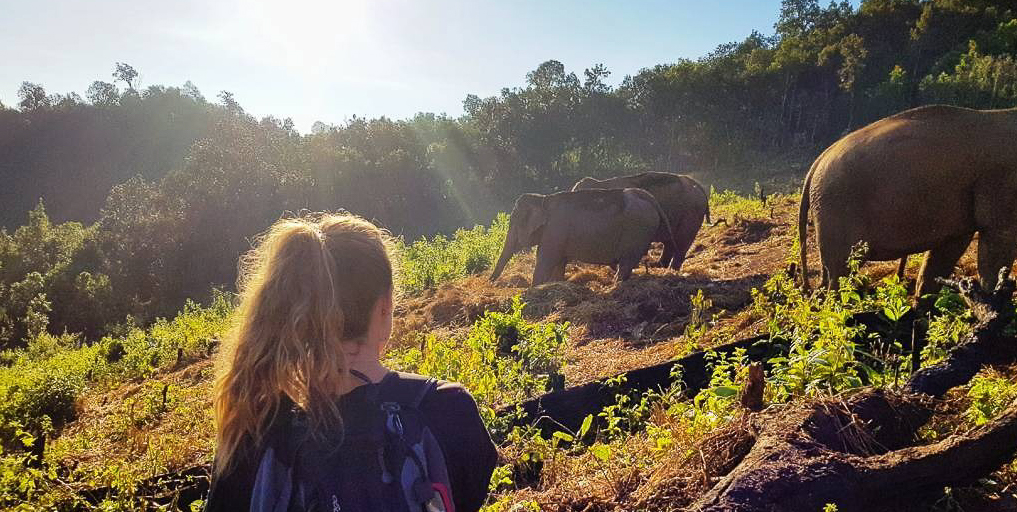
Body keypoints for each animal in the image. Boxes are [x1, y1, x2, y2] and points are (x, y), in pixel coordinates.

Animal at [490, 187, 675, 287]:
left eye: (514, 222)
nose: (490, 281)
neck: (543, 199)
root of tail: (649, 197)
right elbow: (559, 263)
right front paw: (555, 284)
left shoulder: (554, 231)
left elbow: (545, 260)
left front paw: (533, 289)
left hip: (636, 232)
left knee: (626, 262)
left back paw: (615, 285)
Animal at [573, 172, 707, 270]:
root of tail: (699, 187)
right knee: (670, 243)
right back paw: (659, 266)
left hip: (691, 216)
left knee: (681, 244)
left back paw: (671, 270)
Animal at [797, 104, 1017, 297]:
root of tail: (816, 163)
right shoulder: (1002, 185)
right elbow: (998, 242)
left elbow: (944, 254)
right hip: (836, 210)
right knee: (840, 273)